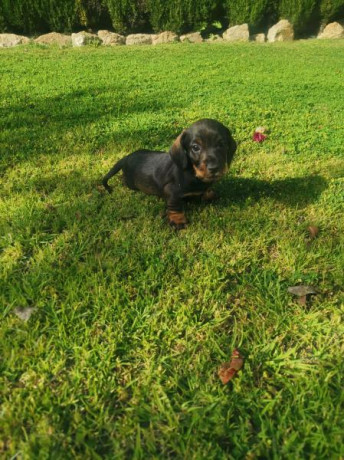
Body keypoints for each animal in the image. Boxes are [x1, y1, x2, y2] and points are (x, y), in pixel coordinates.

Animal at [102, 117, 236, 228]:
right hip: (131, 182)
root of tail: (126, 157)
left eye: (222, 144)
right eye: (195, 147)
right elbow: (175, 206)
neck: (193, 173)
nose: (214, 168)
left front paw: (210, 194)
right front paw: (178, 220)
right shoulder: (172, 191)